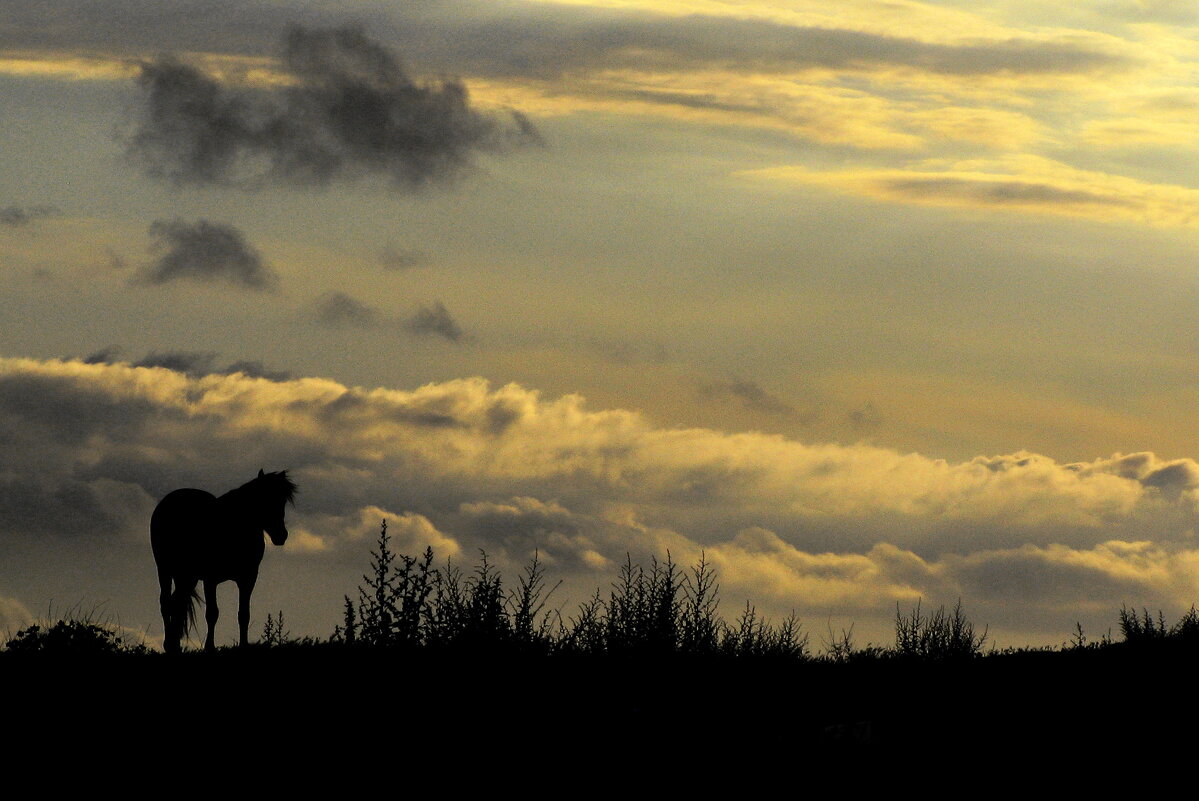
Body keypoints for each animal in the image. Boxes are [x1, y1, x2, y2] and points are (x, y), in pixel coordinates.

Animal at [151, 470, 298, 652]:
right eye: (263, 498)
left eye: (282, 501)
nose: (281, 535)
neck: (233, 527)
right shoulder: (210, 579)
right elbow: (212, 613)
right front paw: (210, 647)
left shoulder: (248, 578)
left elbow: (244, 614)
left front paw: (243, 645)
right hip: (165, 570)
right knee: (166, 603)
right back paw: (169, 644)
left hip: (187, 577)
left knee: (178, 603)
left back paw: (174, 645)